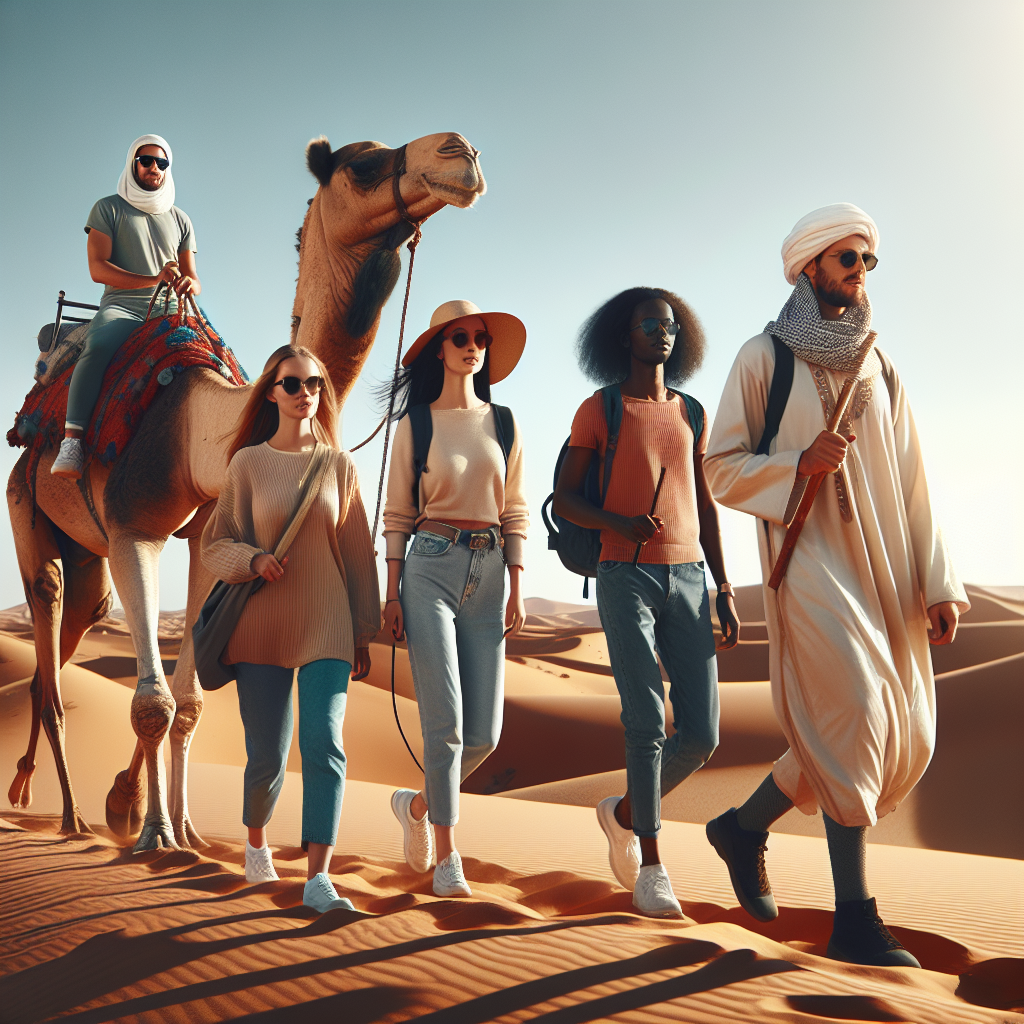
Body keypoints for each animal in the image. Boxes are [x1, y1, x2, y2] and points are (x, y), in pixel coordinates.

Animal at [7, 132, 487, 851]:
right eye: (362, 164)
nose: (461, 153)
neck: (199, 436)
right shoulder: (134, 531)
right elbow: (154, 703)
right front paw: (153, 835)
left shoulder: (208, 539)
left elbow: (189, 704)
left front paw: (180, 828)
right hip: (26, 504)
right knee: (48, 622)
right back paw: (67, 816)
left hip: (87, 551)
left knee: (69, 640)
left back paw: (43, 795)